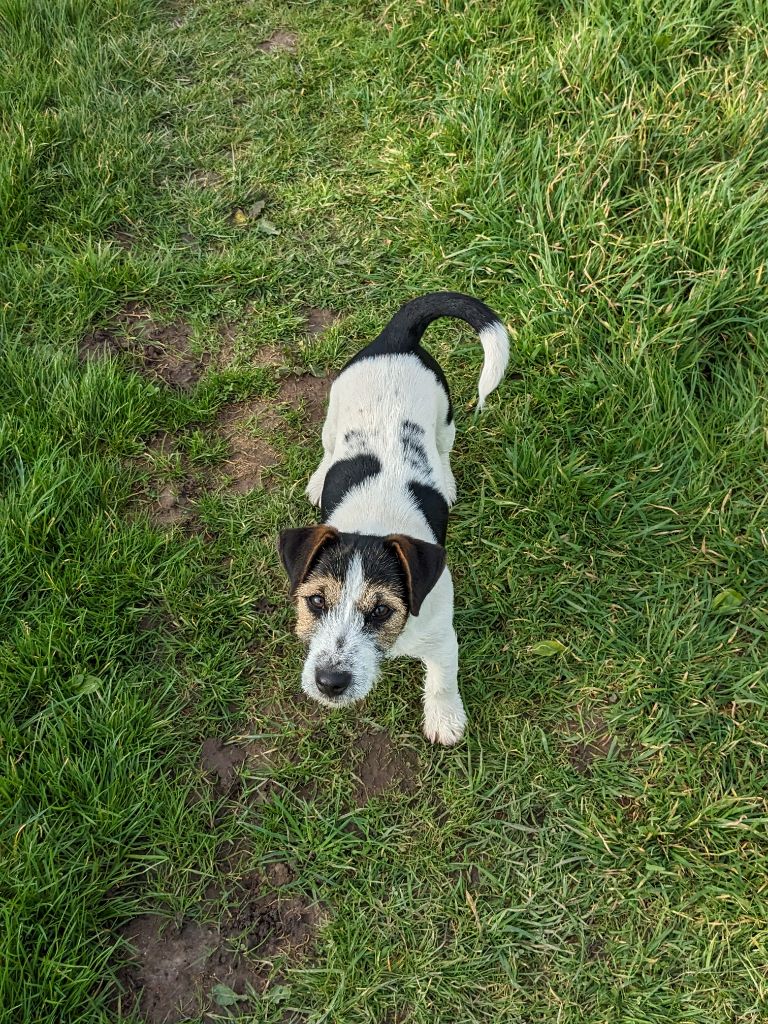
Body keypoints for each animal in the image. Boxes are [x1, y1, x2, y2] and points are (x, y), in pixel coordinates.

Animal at [278, 292, 512, 749]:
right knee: (328, 447)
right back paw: (319, 478)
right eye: (316, 601)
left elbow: (442, 680)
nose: (330, 682)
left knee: (443, 447)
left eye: (382, 610)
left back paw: (447, 481)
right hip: (333, 415)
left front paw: (445, 719)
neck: (374, 522)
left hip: (445, 417)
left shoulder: (442, 637)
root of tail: (397, 339)